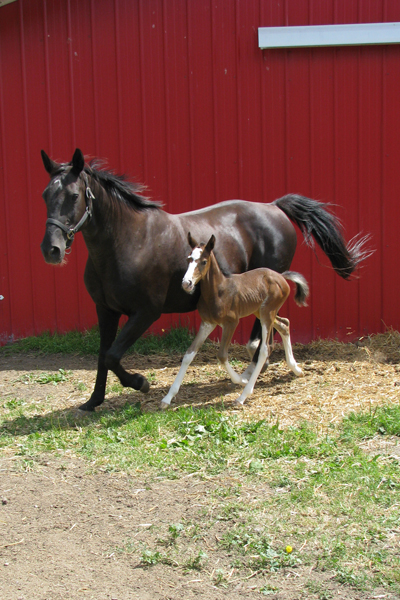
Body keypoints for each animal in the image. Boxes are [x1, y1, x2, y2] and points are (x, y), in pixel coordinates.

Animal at [160, 233, 310, 408]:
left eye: (203, 261)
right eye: (189, 259)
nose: (186, 283)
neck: (218, 292)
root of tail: (281, 276)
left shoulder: (231, 323)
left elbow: (222, 355)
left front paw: (241, 380)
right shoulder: (207, 323)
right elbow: (189, 354)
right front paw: (167, 398)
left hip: (267, 313)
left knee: (265, 349)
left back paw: (243, 396)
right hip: (260, 312)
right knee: (284, 324)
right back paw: (296, 369)